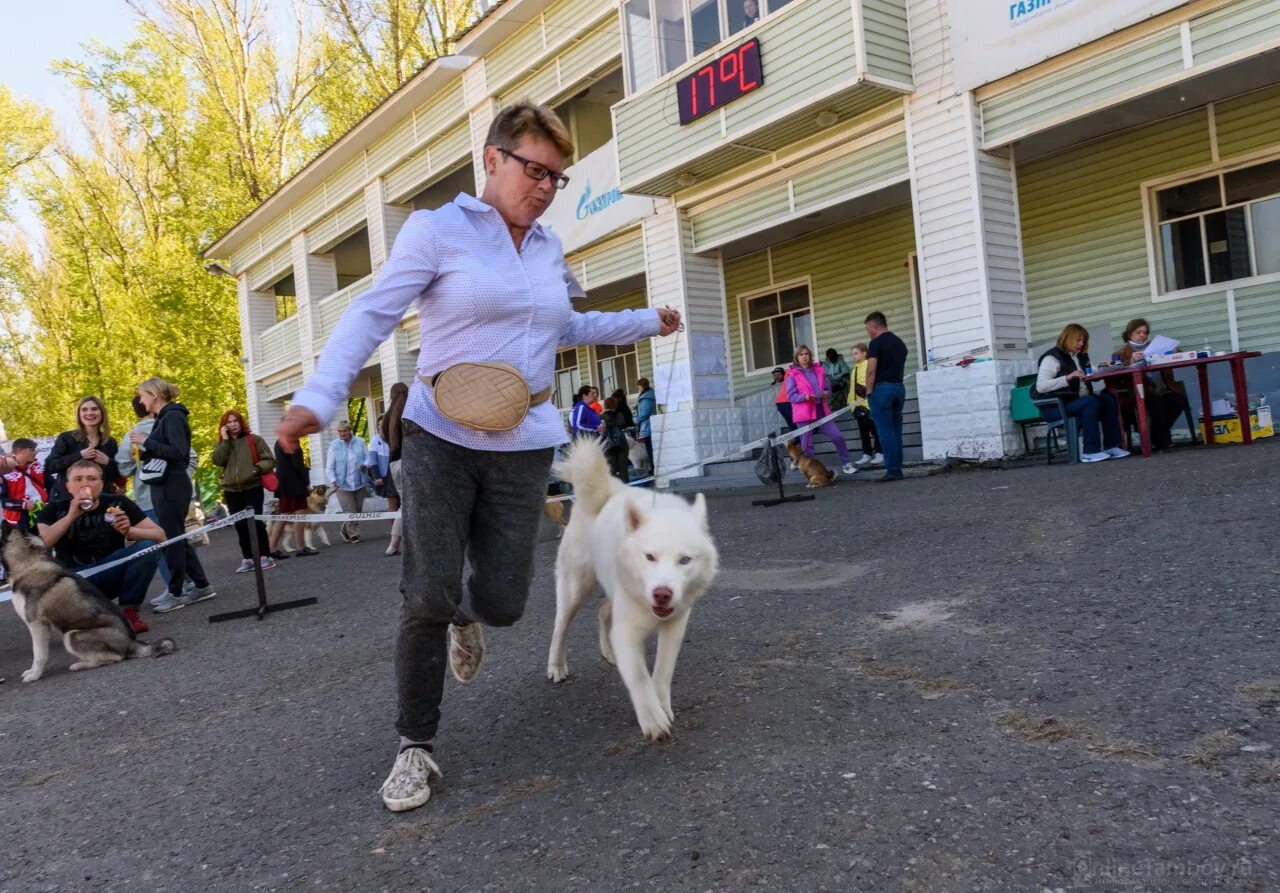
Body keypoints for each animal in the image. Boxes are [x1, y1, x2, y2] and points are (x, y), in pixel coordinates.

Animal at [1, 529, 176, 680]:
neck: (28, 563)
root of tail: (131, 642)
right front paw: (31, 672)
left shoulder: (37, 625)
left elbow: (39, 654)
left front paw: (35, 675)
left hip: (72, 635)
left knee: (116, 657)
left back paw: (79, 665)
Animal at [550, 437, 721, 736]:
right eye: (649, 556)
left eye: (685, 560)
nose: (662, 594)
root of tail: (605, 492)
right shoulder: (627, 630)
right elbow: (639, 677)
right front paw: (653, 719)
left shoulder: (674, 627)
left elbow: (662, 671)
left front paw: (662, 705)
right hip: (575, 588)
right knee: (560, 626)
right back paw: (556, 666)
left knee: (602, 610)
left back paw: (608, 652)